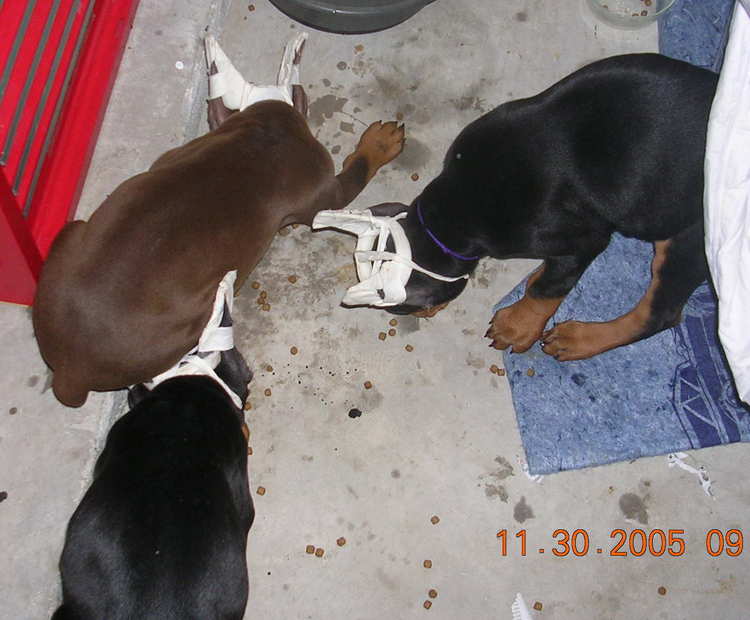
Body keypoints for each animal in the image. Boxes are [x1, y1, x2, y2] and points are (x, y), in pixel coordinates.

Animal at [33, 81, 406, 406]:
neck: (260, 140)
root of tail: (70, 368)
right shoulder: (320, 192)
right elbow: (354, 173)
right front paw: (379, 144)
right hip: (195, 316)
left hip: (71, 235)